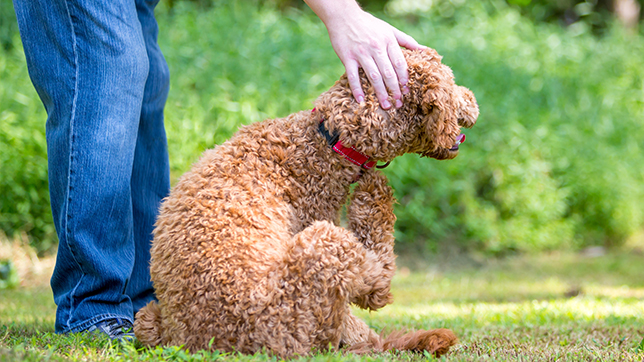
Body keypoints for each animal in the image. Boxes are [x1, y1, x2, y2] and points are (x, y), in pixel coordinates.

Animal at [135, 47, 478, 356]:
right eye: (452, 84)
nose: (474, 99)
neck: (327, 138)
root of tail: (205, 342)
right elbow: (373, 290)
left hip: (147, 318)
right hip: (325, 248)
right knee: (377, 287)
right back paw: (374, 197)